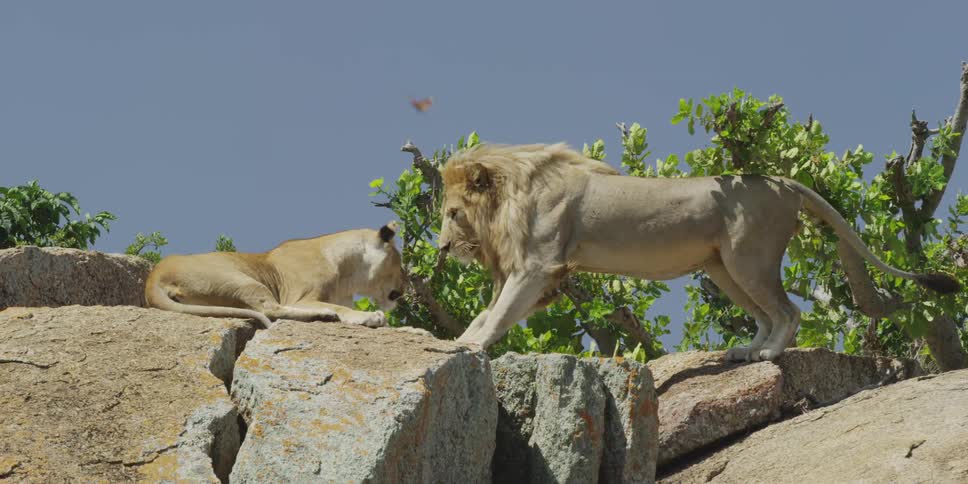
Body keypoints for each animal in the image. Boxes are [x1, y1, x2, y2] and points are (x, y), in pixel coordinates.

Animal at [145, 222, 405, 329]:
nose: (403, 291)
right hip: (242, 280)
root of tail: (154, 276)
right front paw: (371, 316)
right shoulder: (298, 297)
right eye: (401, 263)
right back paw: (324, 315)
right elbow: (341, 307)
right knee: (270, 309)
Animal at [438, 143, 959, 361]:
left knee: (788, 313)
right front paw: (458, 340)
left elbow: (498, 314)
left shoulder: (538, 265)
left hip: (748, 258)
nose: (442, 247)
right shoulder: (536, 273)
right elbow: (487, 312)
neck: (513, 193)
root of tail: (783, 181)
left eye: (452, 213)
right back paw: (744, 349)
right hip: (723, 268)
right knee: (765, 314)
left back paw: (765, 355)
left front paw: (471, 347)